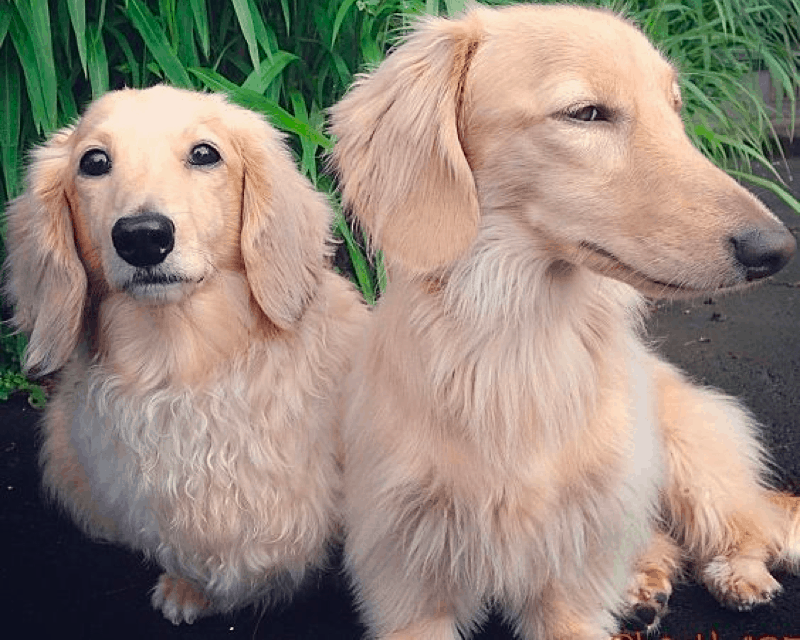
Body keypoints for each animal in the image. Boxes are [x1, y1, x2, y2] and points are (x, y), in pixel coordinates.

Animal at [332, 5, 800, 640]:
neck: (519, 349)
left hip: (690, 459)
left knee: (745, 527)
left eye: (674, 108)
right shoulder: (410, 581)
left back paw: (739, 576)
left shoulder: (567, 581)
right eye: (586, 113)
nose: (775, 250)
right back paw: (642, 588)